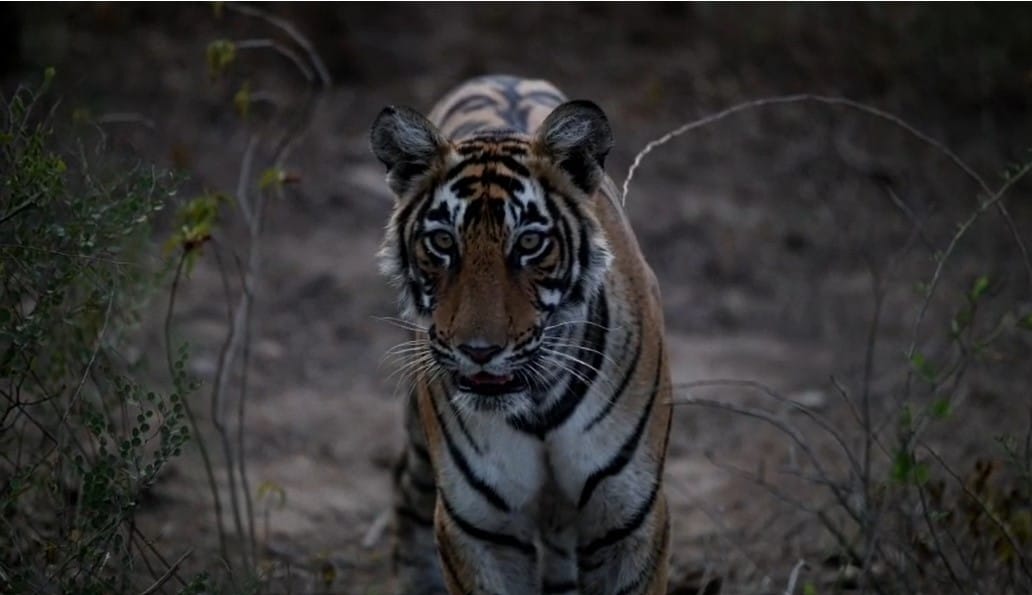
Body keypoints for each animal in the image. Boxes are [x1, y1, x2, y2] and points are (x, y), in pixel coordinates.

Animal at [371, 75, 673, 595]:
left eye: (530, 243)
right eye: (443, 241)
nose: (479, 351)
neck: (539, 406)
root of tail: (500, 77)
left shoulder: (630, 520)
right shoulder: (479, 529)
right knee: (405, 487)